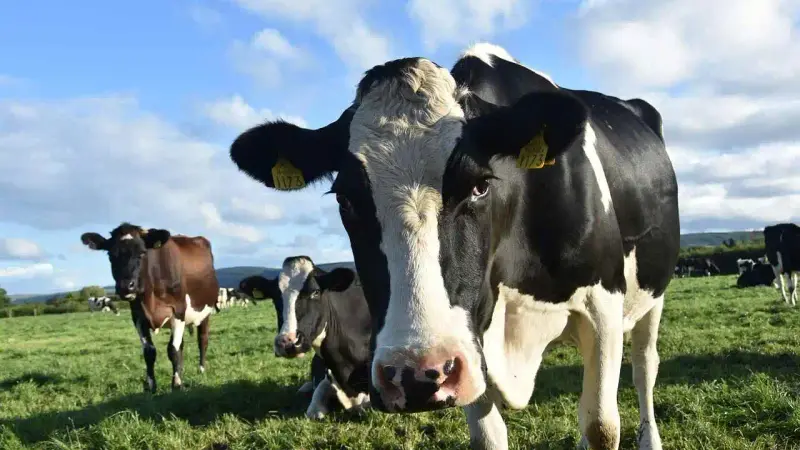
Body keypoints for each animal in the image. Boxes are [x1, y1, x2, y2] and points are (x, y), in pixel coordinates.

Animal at [80, 223, 219, 392]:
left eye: (142, 253)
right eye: (111, 255)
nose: (126, 286)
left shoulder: (178, 311)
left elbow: (172, 350)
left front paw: (176, 383)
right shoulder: (138, 316)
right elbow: (149, 352)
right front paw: (151, 385)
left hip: (205, 312)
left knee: (202, 340)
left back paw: (201, 369)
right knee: (181, 345)